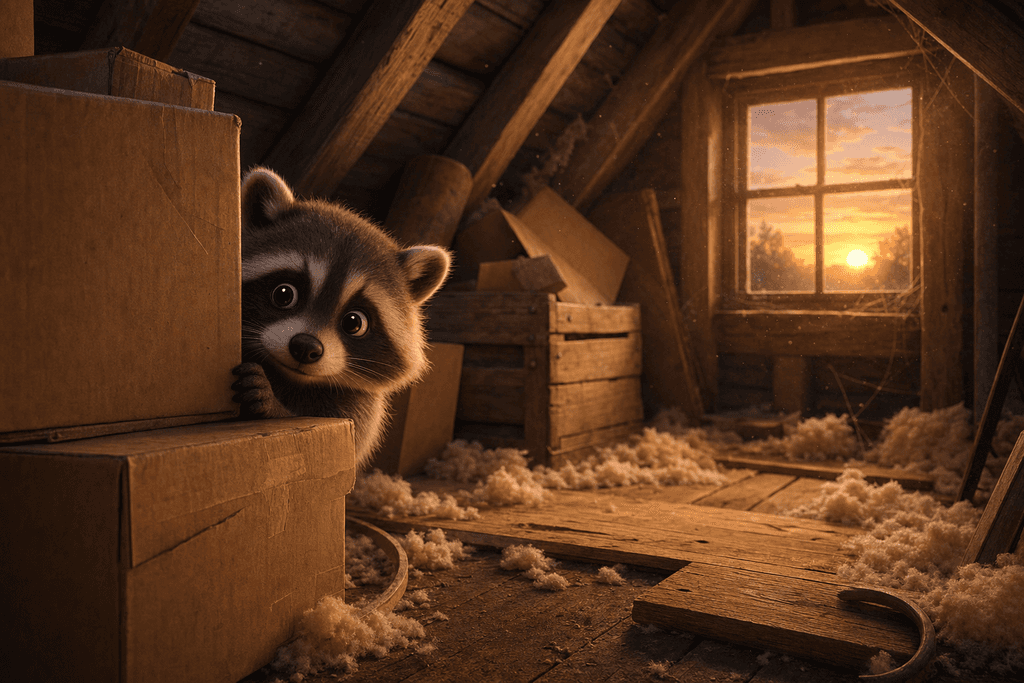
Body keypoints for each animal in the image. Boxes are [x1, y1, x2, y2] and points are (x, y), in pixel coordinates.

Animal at [231, 167, 451, 468]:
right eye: (284, 294)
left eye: (354, 322)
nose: (305, 347)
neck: (289, 378)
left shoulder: (362, 408)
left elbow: (343, 440)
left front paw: (277, 408)